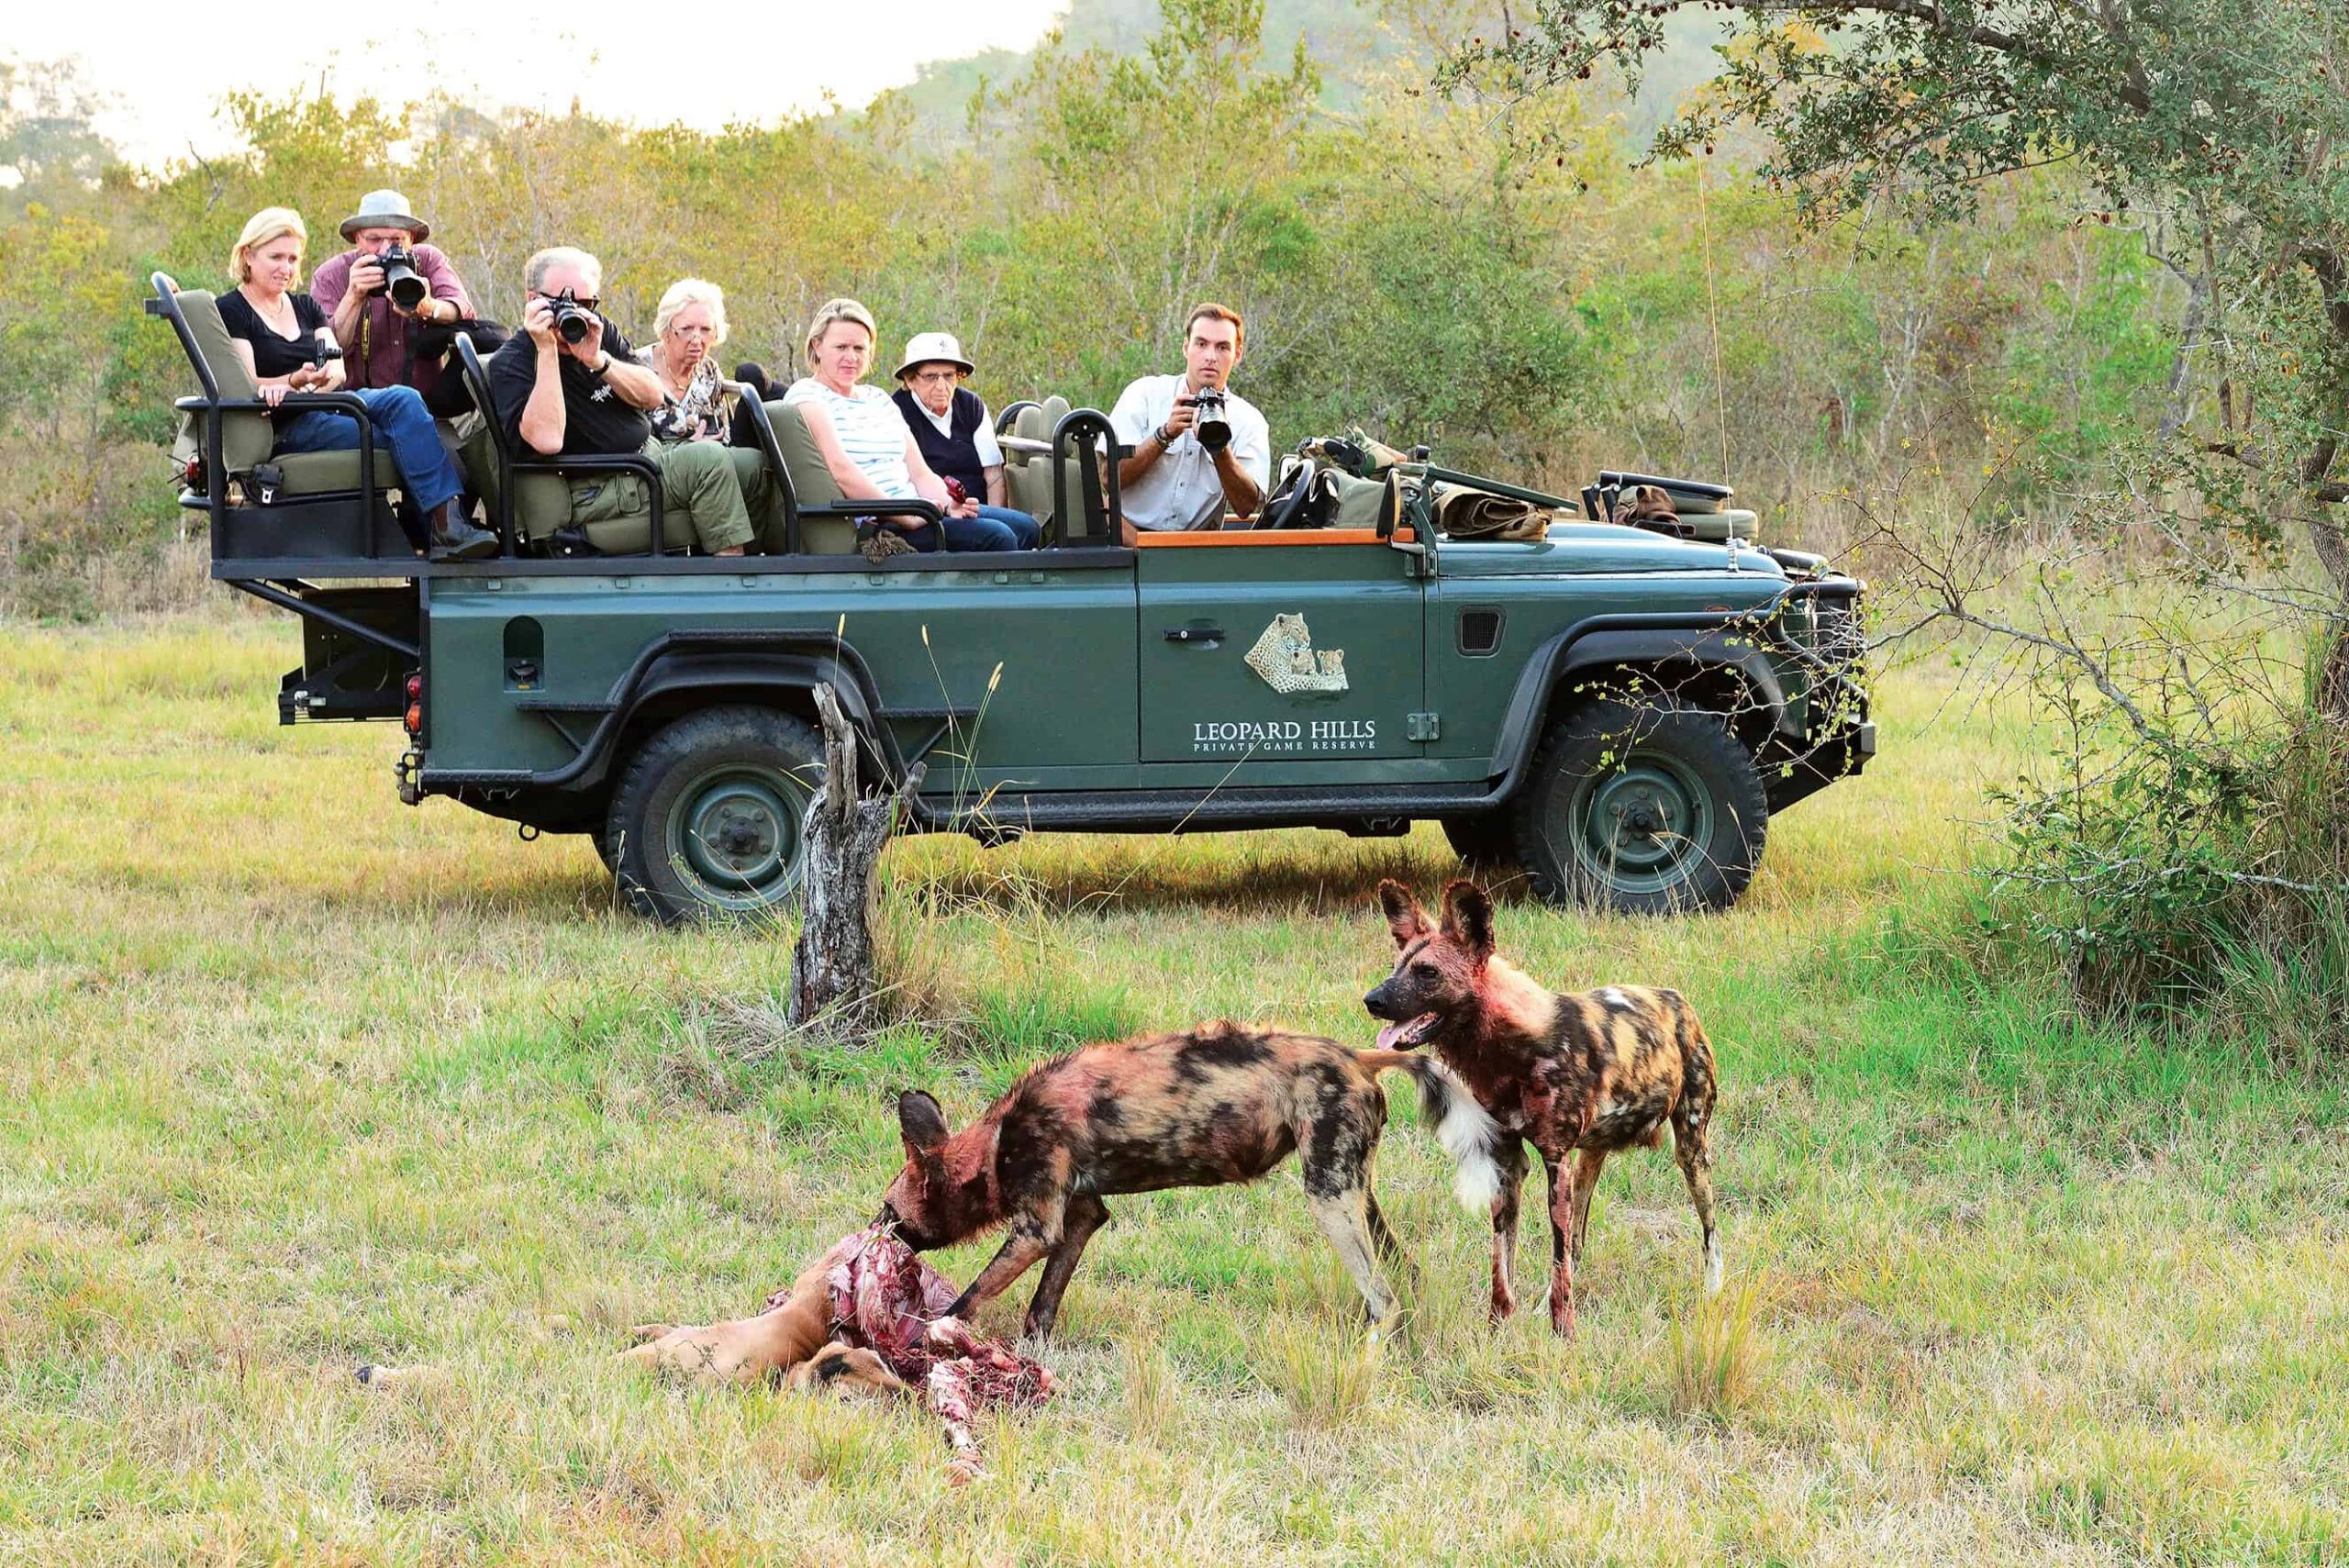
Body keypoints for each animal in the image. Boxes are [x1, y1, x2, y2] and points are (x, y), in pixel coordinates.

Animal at [883, 1023, 1419, 1342]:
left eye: (889, 1211)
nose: (878, 1233)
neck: (996, 1145)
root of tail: (1357, 1057)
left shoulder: (1036, 1231)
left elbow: (969, 1297)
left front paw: (930, 1334)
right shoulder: (1081, 1216)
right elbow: (1043, 1304)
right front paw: (1032, 1352)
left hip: (1329, 1199)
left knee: (1384, 1300)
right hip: (1354, 1191)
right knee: (1405, 1269)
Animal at [1362, 882, 1729, 1333]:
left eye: (1428, 973)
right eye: (1396, 967)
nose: (1372, 1000)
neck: (1510, 1050)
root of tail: (1675, 999)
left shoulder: (1555, 1162)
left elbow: (1554, 1258)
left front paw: (1563, 1334)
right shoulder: (1506, 1160)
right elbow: (1503, 1262)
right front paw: (1499, 1328)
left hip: (1690, 1151)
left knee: (1710, 1231)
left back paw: (1713, 1291)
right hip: (1589, 1160)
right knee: (1577, 1246)